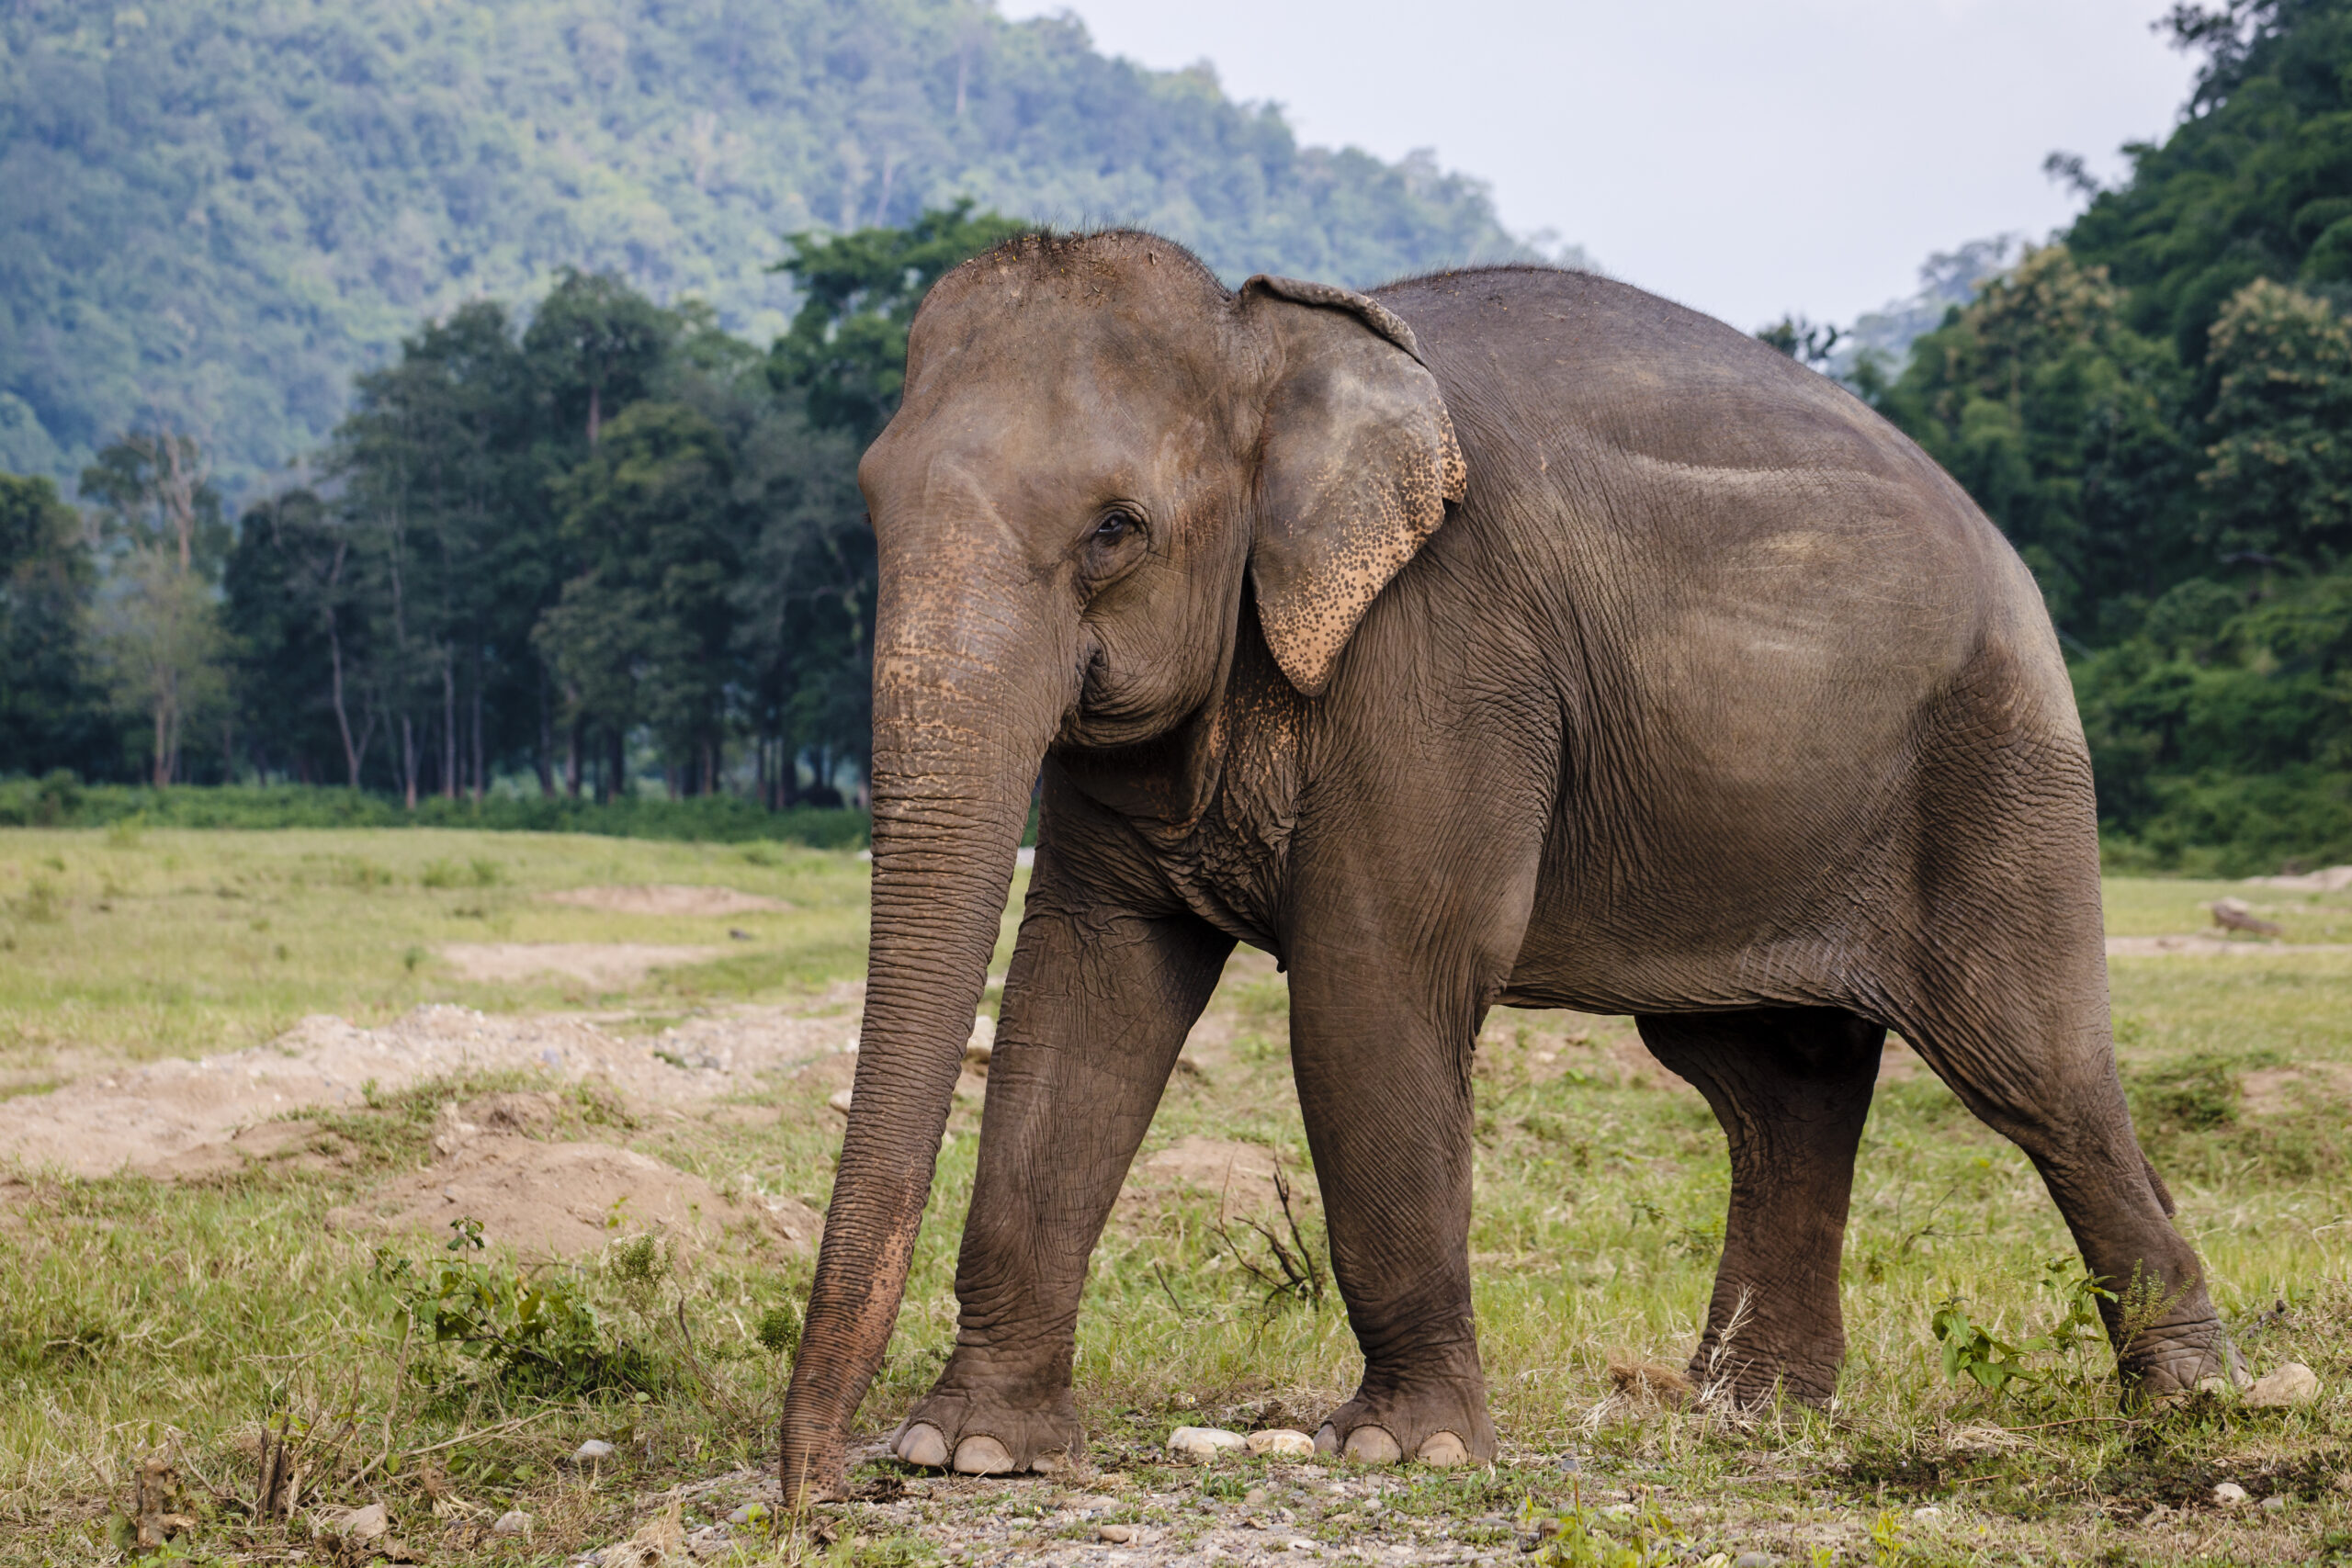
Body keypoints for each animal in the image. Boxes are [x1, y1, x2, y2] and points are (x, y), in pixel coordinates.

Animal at [775, 230, 2239, 1495]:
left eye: (1114, 529)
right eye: (867, 504)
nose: (810, 1492)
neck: (1271, 334)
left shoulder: (1444, 664)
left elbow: (1373, 983)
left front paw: (1400, 1451)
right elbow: (1086, 986)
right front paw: (970, 1451)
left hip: (2000, 767)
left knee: (2034, 1071)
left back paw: (2189, 1402)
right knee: (1777, 1080)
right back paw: (1747, 1412)